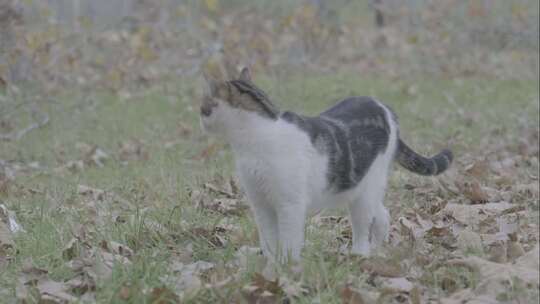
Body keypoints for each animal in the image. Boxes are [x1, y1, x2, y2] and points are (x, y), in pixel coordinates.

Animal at [198, 67, 452, 262]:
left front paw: (286, 266)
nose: (199, 117)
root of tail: (384, 107)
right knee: (382, 214)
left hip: (364, 194)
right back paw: (378, 250)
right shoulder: (261, 204)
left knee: (364, 227)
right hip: (364, 190)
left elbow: (288, 239)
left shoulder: (290, 204)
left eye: (204, 108)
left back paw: (360, 256)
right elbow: (269, 238)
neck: (257, 138)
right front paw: (270, 264)